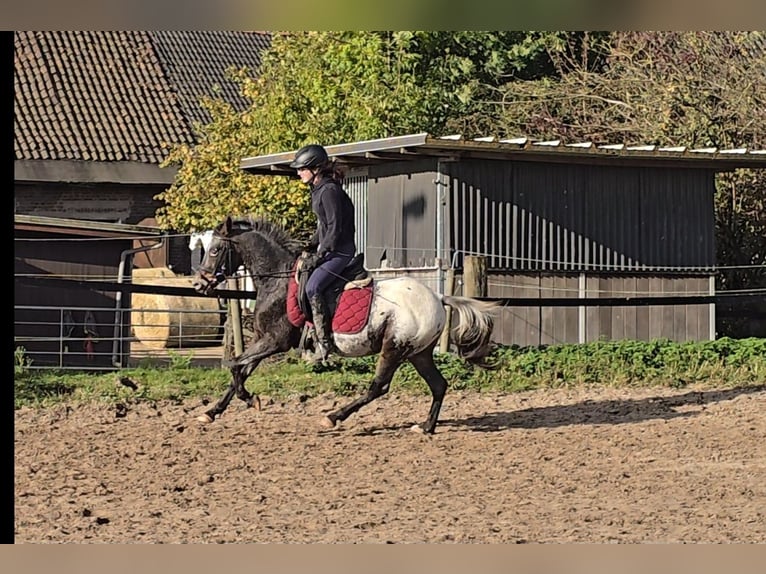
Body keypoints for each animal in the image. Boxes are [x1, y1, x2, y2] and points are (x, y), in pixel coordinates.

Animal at [194, 217, 498, 436]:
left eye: (215, 250)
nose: (199, 284)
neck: (277, 281)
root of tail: (437, 297)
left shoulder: (275, 341)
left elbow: (235, 366)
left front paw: (251, 399)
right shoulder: (264, 340)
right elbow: (241, 370)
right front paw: (211, 412)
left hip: (394, 348)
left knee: (378, 387)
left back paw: (333, 417)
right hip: (418, 353)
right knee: (438, 385)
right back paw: (425, 427)